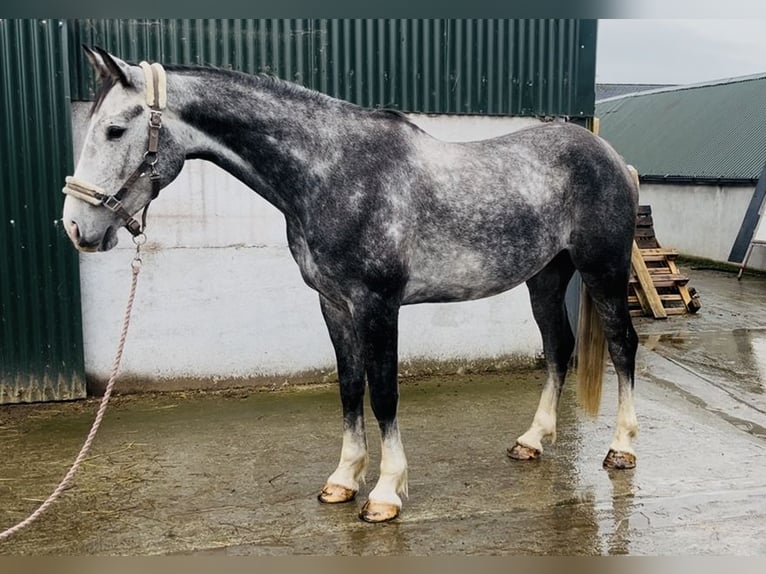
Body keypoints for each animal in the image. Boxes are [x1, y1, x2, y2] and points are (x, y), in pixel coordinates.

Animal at [62, 46, 639, 523]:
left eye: (115, 130)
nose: (76, 228)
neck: (334, 172)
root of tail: (612, 158)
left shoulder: (377, 305)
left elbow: (383, 392)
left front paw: (385, 493)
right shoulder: (333, 304)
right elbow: (348, 386)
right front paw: (342, 480)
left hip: (603, 273)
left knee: (623, 346)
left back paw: (622, 448)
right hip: (545, 277)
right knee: (558, 347)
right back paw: (533, 441)